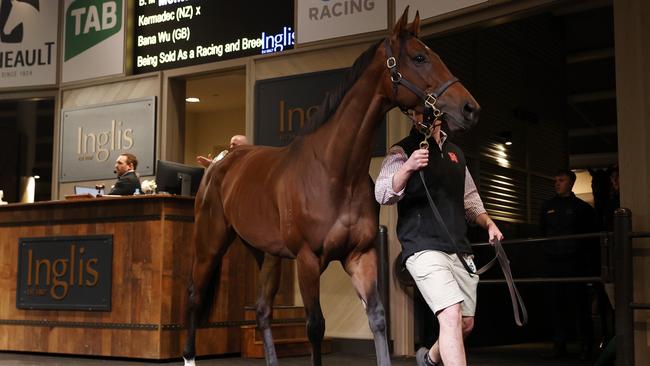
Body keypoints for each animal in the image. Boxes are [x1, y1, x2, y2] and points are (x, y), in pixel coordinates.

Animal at [180, 8, 478, 366]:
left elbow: (377, 318)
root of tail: (218, 162)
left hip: (267, 254)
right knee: (194, 297)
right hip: (209, 243)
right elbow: (315, 327)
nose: (470, 108)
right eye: (419, 57)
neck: (335, 172)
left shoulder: (360, 255)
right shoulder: (308, 259)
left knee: (263, 310)